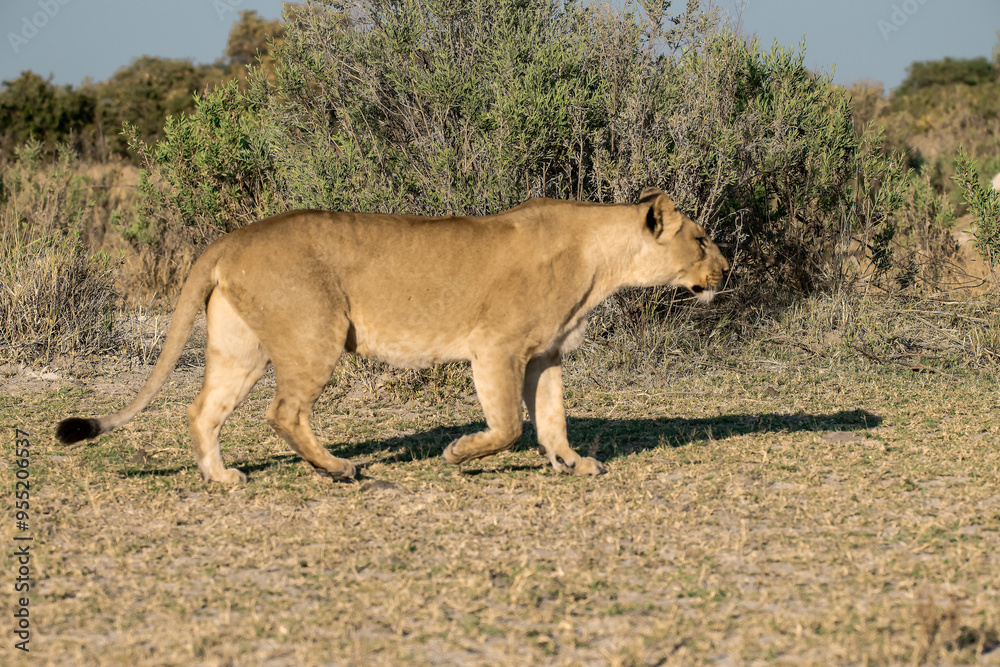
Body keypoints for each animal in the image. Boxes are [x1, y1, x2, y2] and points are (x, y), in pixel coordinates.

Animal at [56, 188, 728, 482]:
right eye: (700, 240)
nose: (726, 270)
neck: (601, 262)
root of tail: (232, 237)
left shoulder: (547, 356)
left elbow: (552, 417)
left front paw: (571, 462)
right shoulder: (496, 347)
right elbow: (509, 426)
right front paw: (458, 454)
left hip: (240, 345)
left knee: (203, 410)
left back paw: (221, 479)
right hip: (317, 333)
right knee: (283, 412)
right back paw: (339, 469)